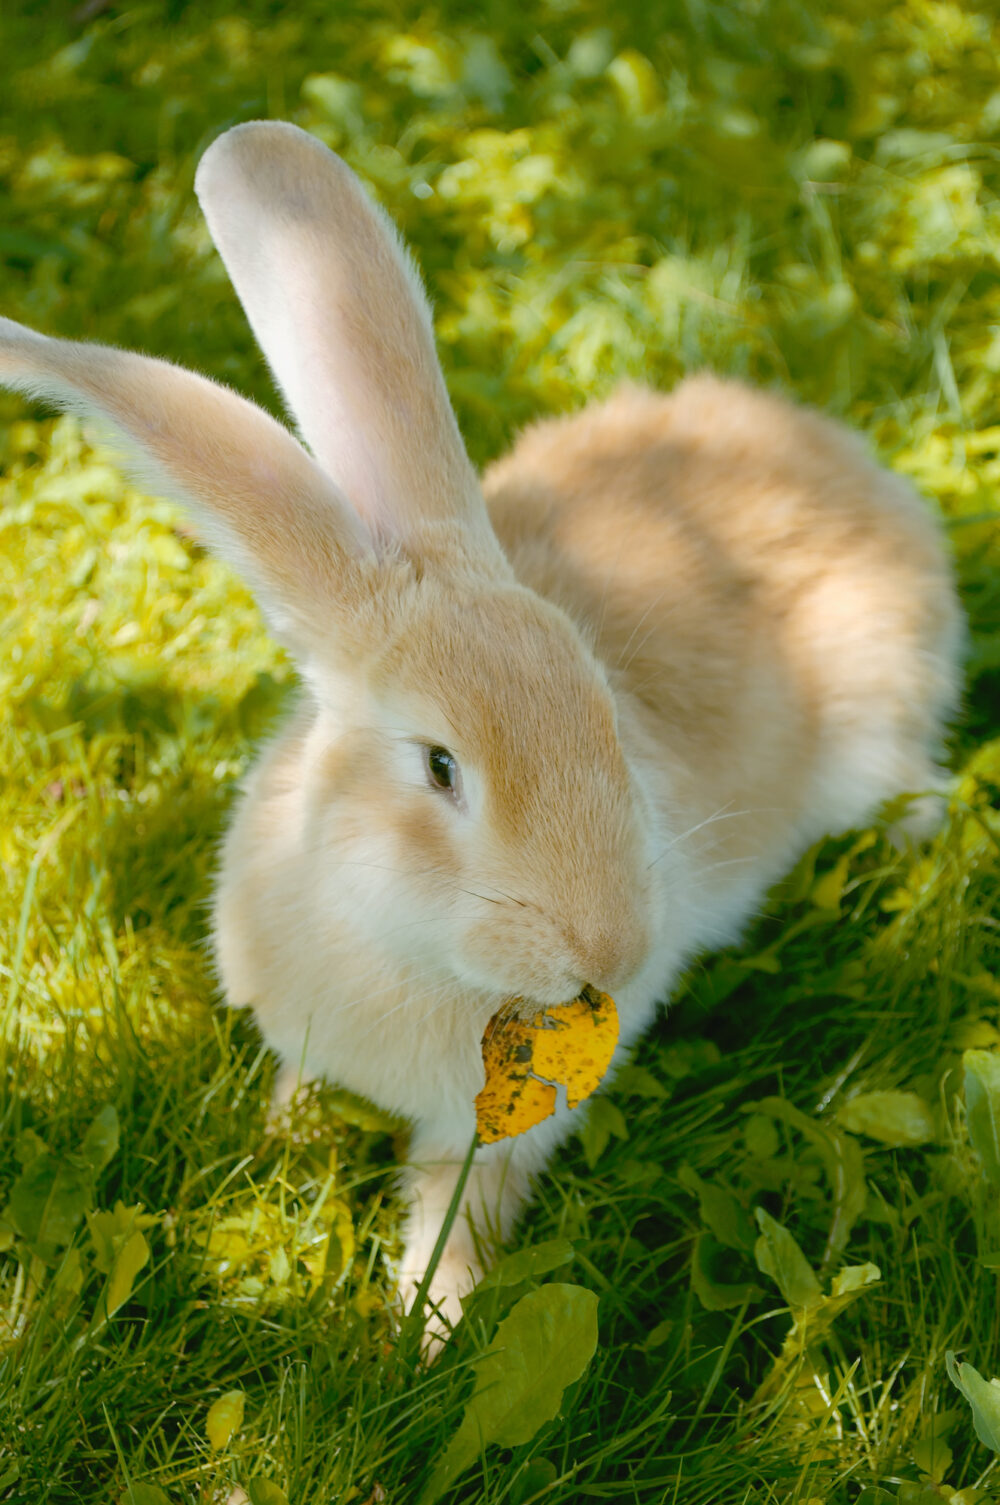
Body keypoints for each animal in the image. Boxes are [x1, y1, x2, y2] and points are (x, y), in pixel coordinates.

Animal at [0, 121, 962, 1335]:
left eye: (605, 715)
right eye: (441, 767)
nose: (613, 949)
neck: (390, 943)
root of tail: (862, 475)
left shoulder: (490, 1134)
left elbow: (457, 1214)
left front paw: (427, 1329)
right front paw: (277, 1141)